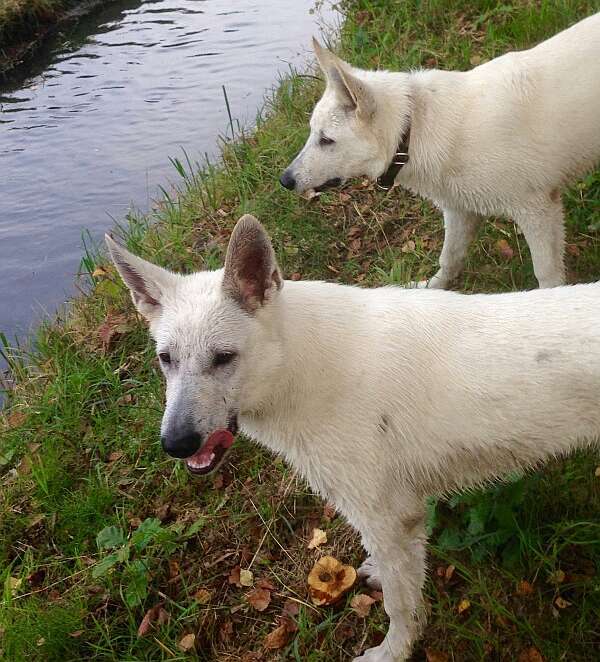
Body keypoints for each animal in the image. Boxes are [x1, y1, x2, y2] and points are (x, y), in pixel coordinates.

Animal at [282, 14, 600, 290]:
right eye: (312, 133)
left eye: (326, 140)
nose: (284, 180)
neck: (414, 129)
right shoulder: (460, 211)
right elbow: (449, 259)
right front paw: (431, 290)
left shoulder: (538, 211)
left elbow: (546, 275)